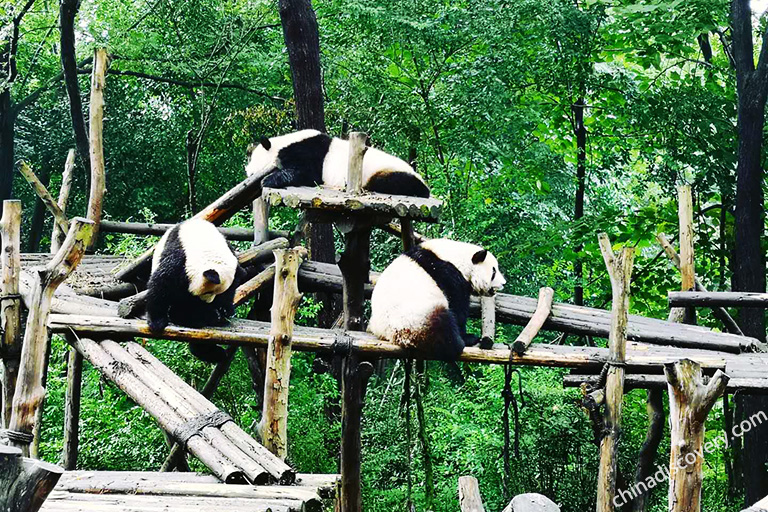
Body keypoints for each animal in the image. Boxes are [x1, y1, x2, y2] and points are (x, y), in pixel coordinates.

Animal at [147, 218, 246, 362]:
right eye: (208, 292)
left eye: (218, 294)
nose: (208, 302)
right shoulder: (179, 258)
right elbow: (162, 285)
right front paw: (156, 322)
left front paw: (223, 310)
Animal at [243, 130, 428, 198]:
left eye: (252, 168)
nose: (248, 173)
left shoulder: (308, 152)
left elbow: (306, 173)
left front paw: (267, 180)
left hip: (387, 172)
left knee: (393, 181)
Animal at [368, 239, 508, 360]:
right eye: (493, 272)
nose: (504, 283)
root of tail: (392, 337)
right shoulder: (447, 273)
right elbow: (457, 306)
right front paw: (468, 336)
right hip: (414, 319)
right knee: (442, 324)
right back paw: (459, 343)